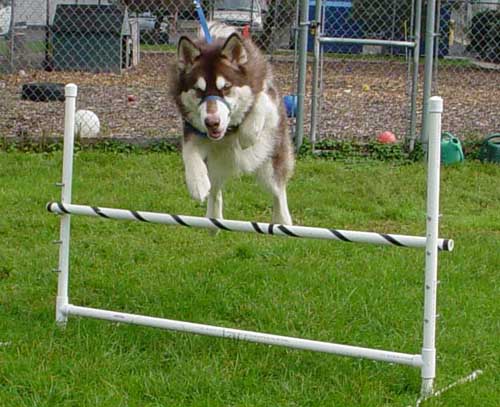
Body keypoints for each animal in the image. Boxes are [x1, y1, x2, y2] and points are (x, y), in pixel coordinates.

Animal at [173, 23, 294, 226]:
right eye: (198, 90)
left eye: (226, 87)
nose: (212, 123)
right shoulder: (192, 128)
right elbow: (188, 151)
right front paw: (196, 183)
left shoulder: (268, 96)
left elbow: (259, 99)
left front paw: (248, 134)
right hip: (214, 164)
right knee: (215, 189)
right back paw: (213, 219)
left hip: (271, 159)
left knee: (278, 190)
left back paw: (282, 220)